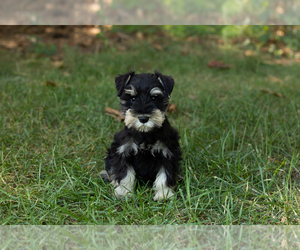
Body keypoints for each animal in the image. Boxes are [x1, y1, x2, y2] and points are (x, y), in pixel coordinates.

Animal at [104, 70, 182, 201]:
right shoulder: (123, 151)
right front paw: (124, 193)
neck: (145, 134)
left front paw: (163, 195)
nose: (143, 118)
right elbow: (125, 174)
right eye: (133, 98)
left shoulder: (168, 153)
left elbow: (164, 176)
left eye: (154, 97)